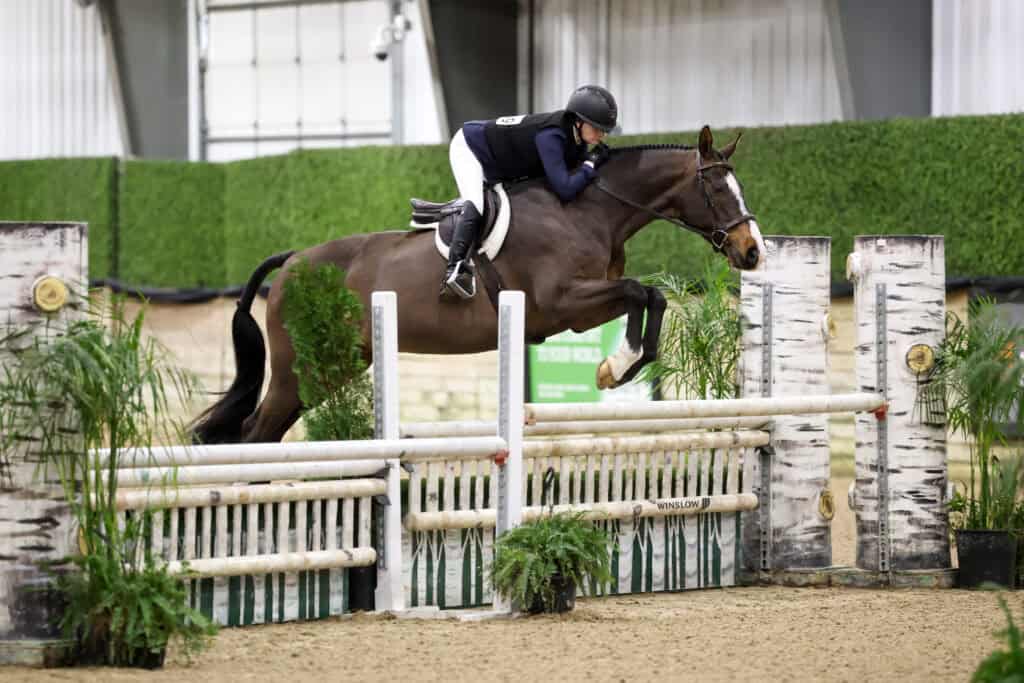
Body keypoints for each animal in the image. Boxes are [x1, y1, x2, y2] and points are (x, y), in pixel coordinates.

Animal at [191, 125, 766, 444]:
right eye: (717, 189)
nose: (753, 251)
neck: (588, 209)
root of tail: (292, 261)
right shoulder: (563, 304)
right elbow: (640, 293)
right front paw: (615, 367)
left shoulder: (578, 309)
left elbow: (651, 296)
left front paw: (618, 367)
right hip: (304, 370)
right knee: (255, 433)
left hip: (337, 363)